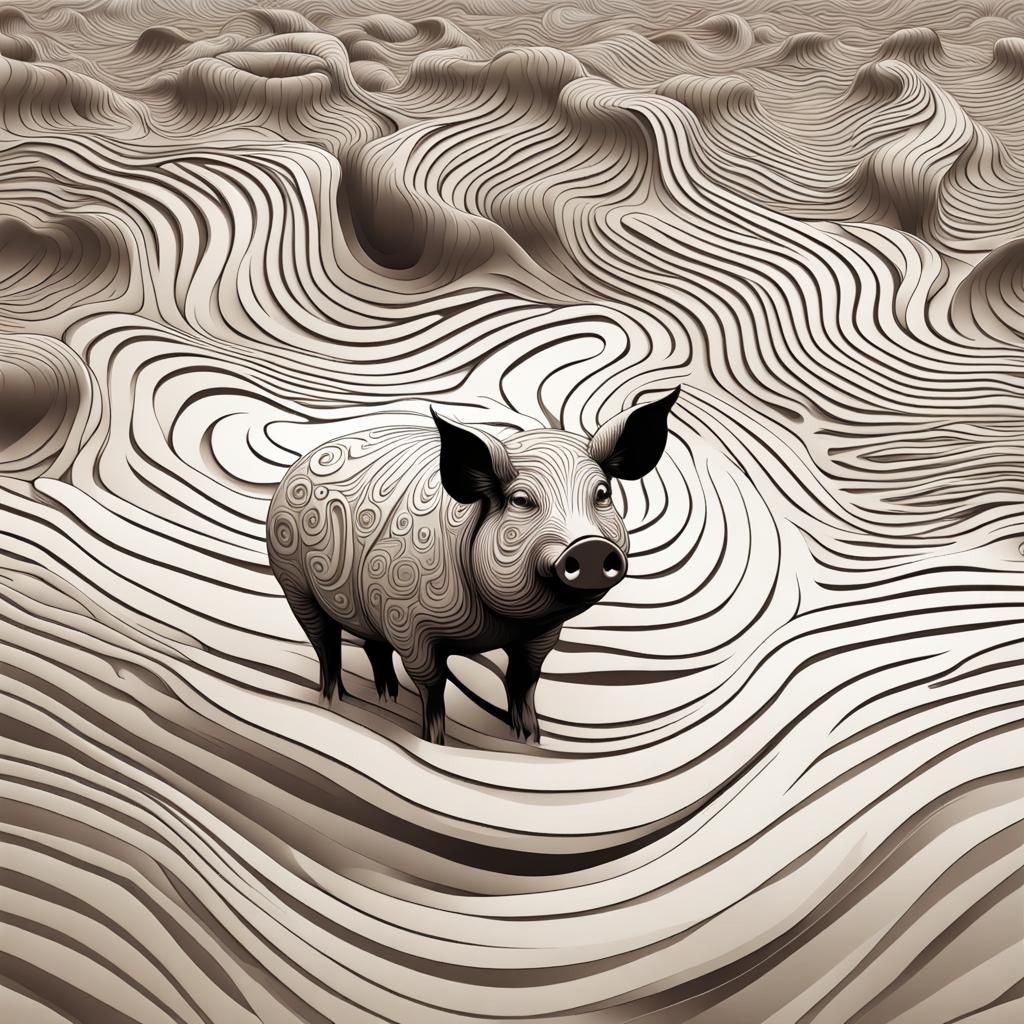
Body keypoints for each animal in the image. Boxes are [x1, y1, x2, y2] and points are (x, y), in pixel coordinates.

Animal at [267, 386, 679, 744]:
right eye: (521, 500)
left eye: (602, 494)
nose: (590, 547)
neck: (500, 623)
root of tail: (300, 463)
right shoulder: (407, 623)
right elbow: (432, 686)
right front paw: (434, 743)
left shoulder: (542, 632)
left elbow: (524, 680)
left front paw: (529, 741)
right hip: (292, 581)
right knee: (325, 644)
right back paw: (335, 704)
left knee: (371, 645)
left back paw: (387, 700)